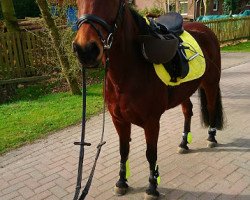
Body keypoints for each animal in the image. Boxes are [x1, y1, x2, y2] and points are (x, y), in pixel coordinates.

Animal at [73, 0, 225, 198]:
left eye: (112, 2)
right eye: (77, 3)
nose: (85, 50)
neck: (129, 72)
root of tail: (206, 29)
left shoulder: (151, 122)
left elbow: (151, 154)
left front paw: (152, 186)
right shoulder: (119, 120)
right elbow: (123, 150)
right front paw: (122, 181)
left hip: (211, 84)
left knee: (212, 107)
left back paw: (211, 137)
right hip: (184, 91)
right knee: (188, 111)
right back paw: (184, 143)